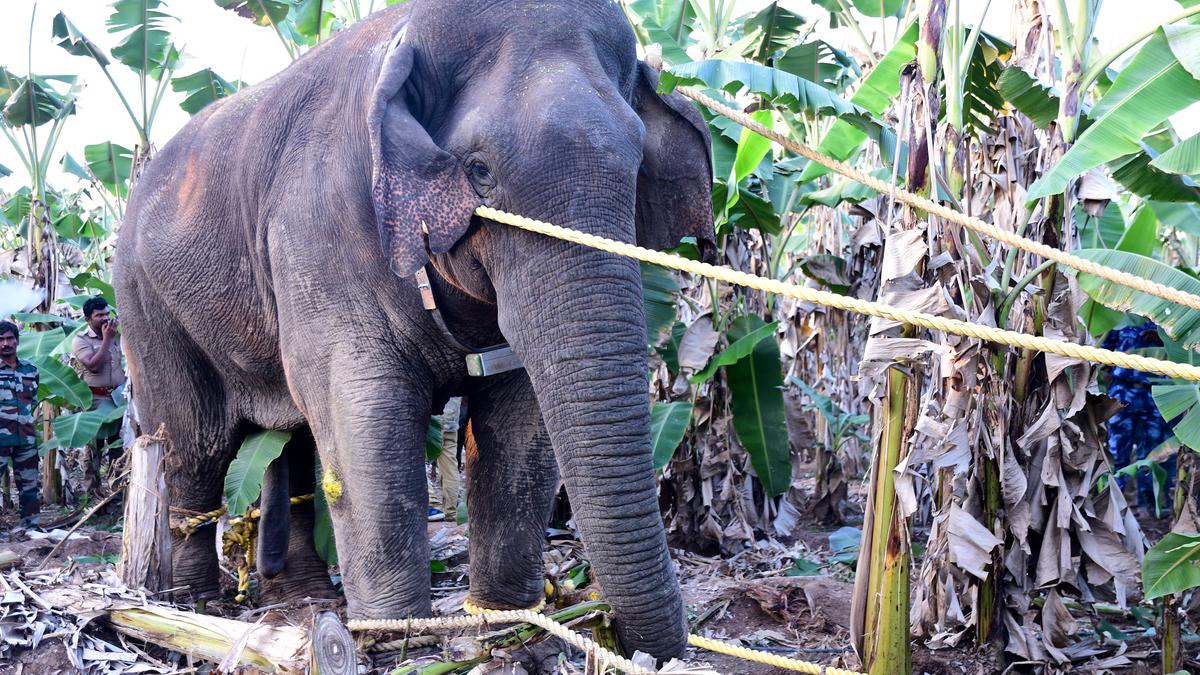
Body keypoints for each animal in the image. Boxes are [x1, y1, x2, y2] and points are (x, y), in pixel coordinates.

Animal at [114, 0, 710, 658]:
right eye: (480, 171)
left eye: (637, 165)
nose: (619, 633)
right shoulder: (318, 228)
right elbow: (366, 417)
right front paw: (397, 638)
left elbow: (520, 420)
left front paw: (502, 621)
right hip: (144, 303)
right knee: (194, 444)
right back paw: (186, 605)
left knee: (290, 438)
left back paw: (302, 600)